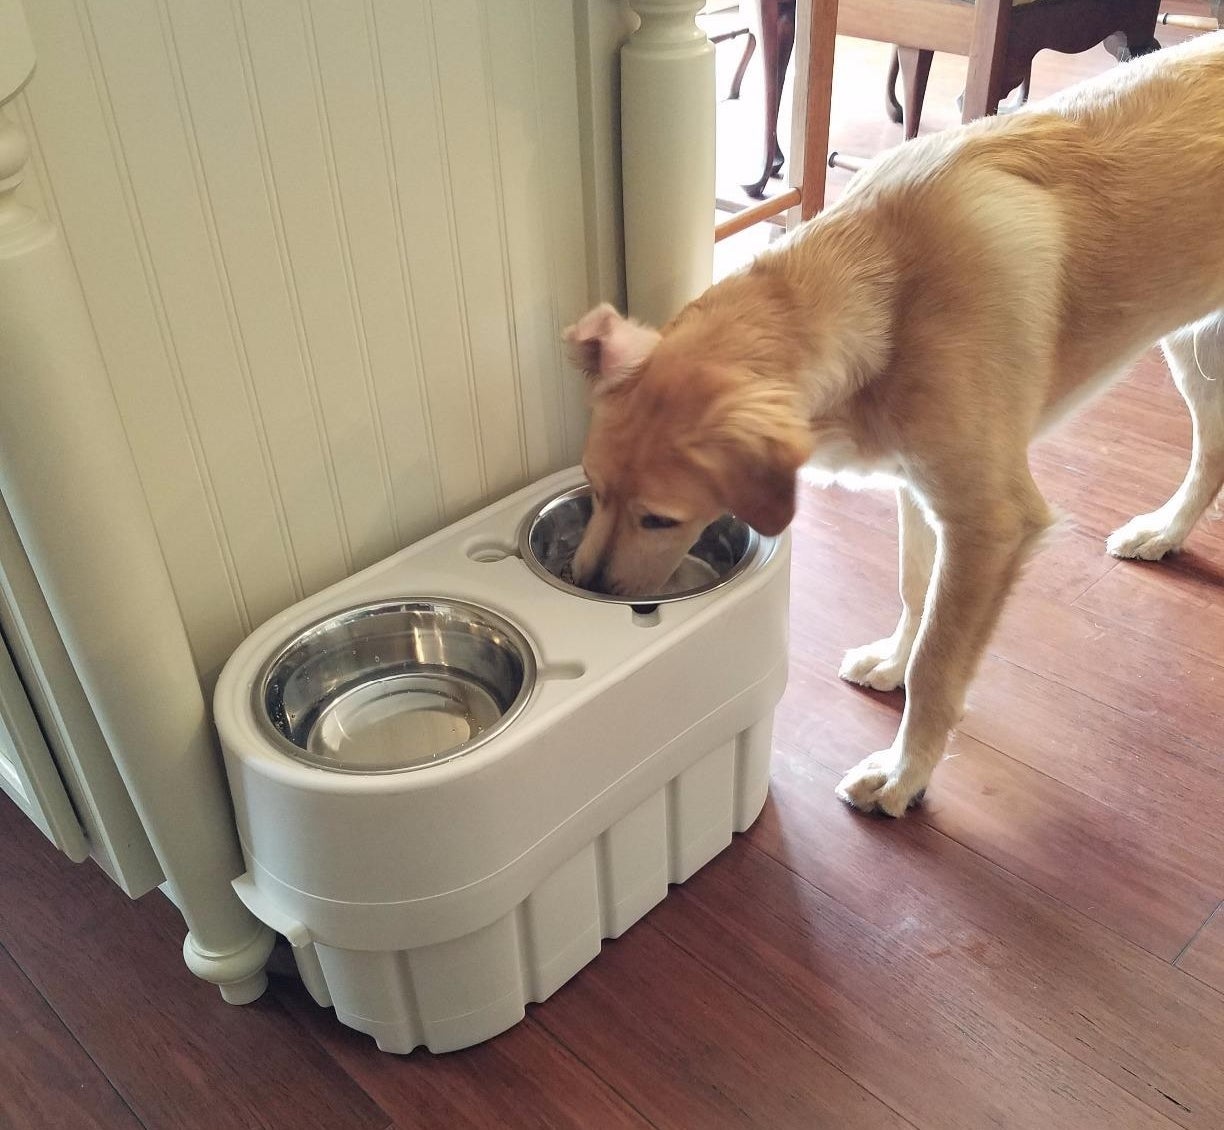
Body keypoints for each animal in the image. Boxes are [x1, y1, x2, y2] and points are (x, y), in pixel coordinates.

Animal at [560, 33, 1224, 812]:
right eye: (593, 488)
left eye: (660, 520)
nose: (587, 587)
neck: (886, 284)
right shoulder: (917, 484)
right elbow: (915, 589)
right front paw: (894, 659)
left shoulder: (989, 524)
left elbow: (940, 662)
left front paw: (905, 772)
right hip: (1192, 344)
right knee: (1211, 454)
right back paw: (1165, 532)